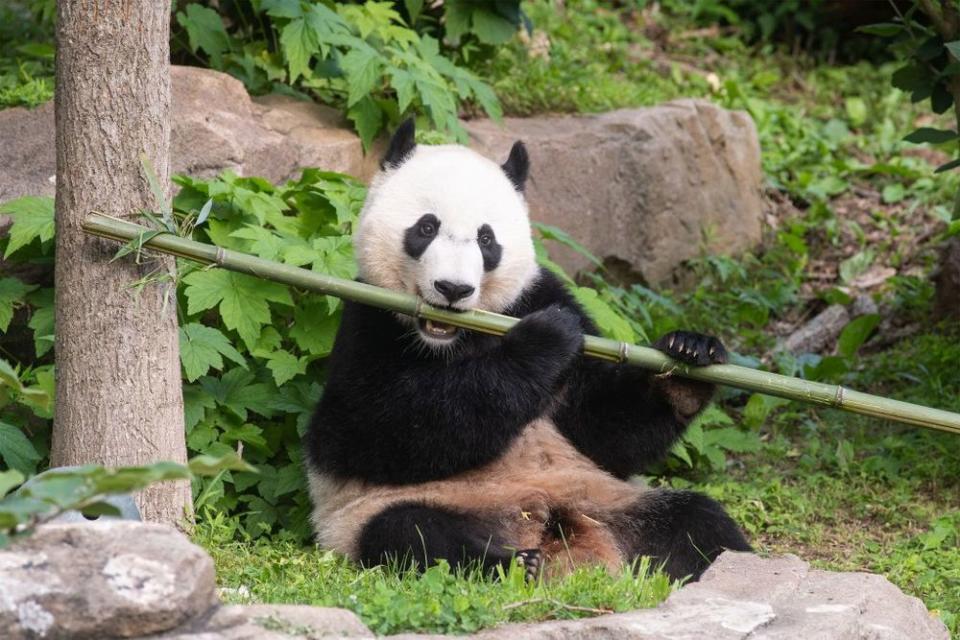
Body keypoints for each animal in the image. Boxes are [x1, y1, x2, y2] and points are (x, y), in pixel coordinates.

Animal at [302, 119, 752, 580]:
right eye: (426, 228)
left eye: (487, 240)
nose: (453, 289)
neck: (457, 338)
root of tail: (556, 536)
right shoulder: (367, 321)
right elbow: (370, 432)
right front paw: (546, 340)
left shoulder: (538, 294)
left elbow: (605, 431)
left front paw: (690, 354)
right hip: (383, 514)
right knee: (410, 533)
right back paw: (512, 562)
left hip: (610, 500)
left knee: (695, 521)